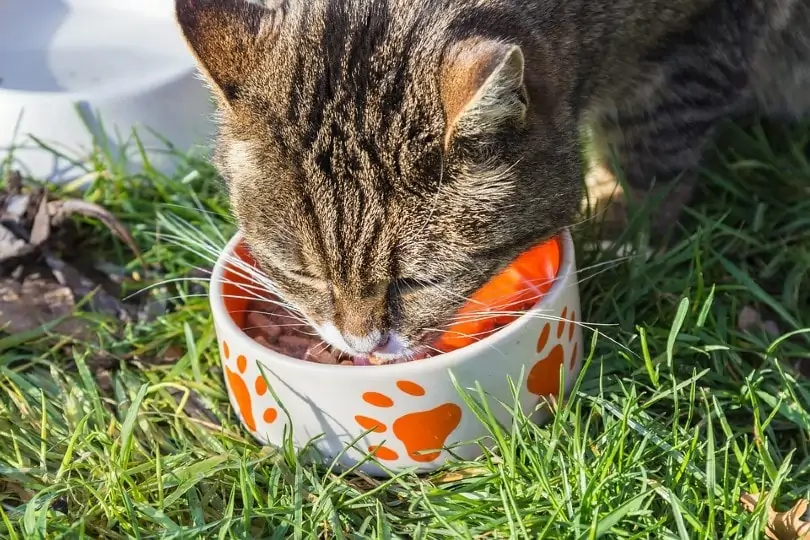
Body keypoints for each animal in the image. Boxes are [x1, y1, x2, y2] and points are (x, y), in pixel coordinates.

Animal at [174, 0, 804, 362]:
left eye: (419, 282)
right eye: (303, 273)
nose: (362, 345)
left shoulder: (699, 42)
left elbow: (652, 148)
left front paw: (624, 231)